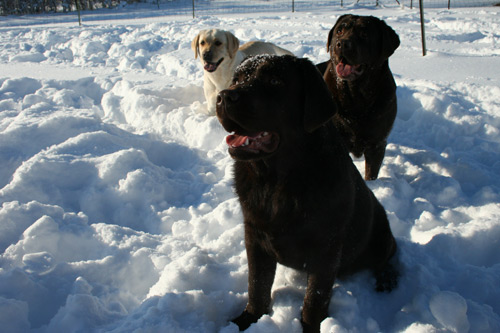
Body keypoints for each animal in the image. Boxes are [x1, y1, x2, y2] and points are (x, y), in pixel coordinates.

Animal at [217, 55, 396, 332]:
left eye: (274, 81)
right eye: (237, 79)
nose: (224, 96)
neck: (275, 182)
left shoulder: (326, 249)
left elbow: (314, 300)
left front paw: (310, 328)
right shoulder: (254, 236)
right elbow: (257, 286)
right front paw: (247, 319)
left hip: (380, 233)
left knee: (390, 255)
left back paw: (387, 280)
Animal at [322, 15, 400, 180]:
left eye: (364, 34)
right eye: (339, 31)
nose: (342, 44)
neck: (356, 95)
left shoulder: (377, 144)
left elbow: (371, 174)